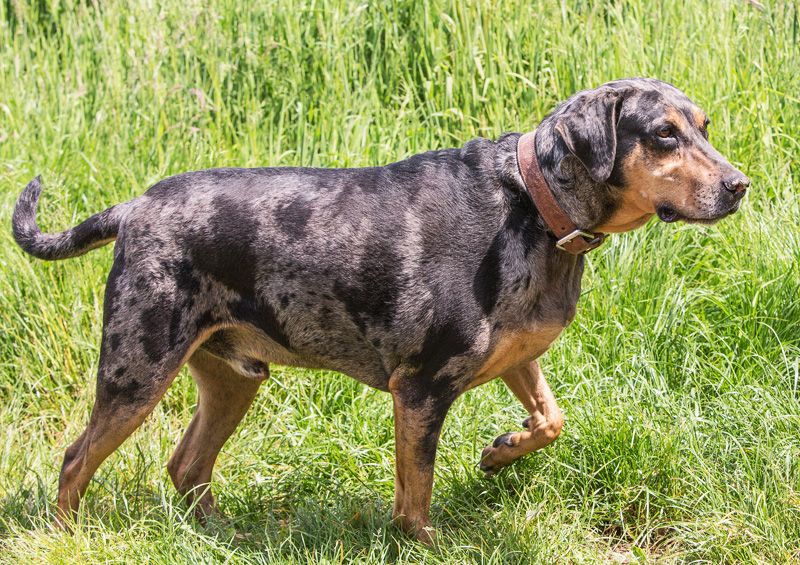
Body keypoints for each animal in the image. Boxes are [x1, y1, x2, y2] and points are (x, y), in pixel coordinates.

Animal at [12, 77, 752, 540]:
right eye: (663, 135)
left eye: (705, 128)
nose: (740, 185)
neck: (532, 207)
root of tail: (134, 207)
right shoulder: (420, 387)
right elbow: (414, 494)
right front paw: (424, 539)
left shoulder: (517, 358)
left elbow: (551, 419)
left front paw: (501, 451)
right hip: (137, 369)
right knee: (75, 461)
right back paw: (68, 536)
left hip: (233, 378)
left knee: (185, 466)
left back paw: (224, 533)